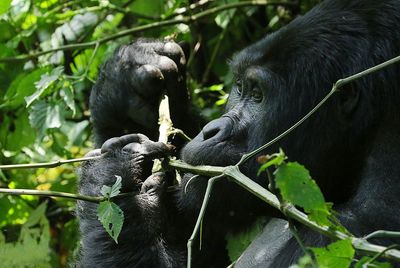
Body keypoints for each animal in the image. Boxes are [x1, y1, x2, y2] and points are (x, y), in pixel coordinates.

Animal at [76, 1, 400, 266]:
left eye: (258, 95)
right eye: (241, 88)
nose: (210, 131)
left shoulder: (363, 228)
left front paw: (114, 182)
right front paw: (129, 75)